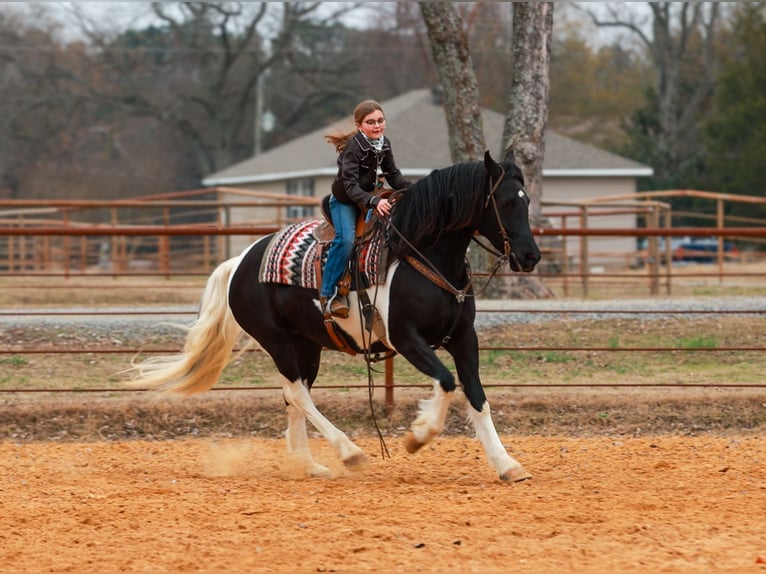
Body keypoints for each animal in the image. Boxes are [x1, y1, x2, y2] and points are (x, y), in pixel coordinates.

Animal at [130, 150, 541, 482]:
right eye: (506, 201)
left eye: (526, 200)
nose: (531, 255)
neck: (422, 254)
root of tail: (241, 261)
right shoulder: (407, 339)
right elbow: (445, 381)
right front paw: (417, 436)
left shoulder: (464, 339)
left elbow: (477, 396)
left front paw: (507, 464)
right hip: (278, 342)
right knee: (298, 394)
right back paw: (349, 452)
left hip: (306, 346)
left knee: (294, 397)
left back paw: (310, 465)